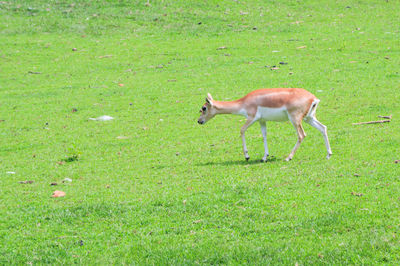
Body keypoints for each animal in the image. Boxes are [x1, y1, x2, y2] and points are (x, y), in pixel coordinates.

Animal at [197, 88, 332, 161]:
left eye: (204, 108)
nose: (199, 121)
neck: (244, 102)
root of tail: (313, 98)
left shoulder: (252, 118)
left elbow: (242, 130)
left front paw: (247, 156)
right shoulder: (262, 121)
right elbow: (264, 135)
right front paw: (264, 157)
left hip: (295, 120)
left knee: (301, 135)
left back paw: (288, 157)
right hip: (309, 118)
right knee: (323, 128)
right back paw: (328, 155)